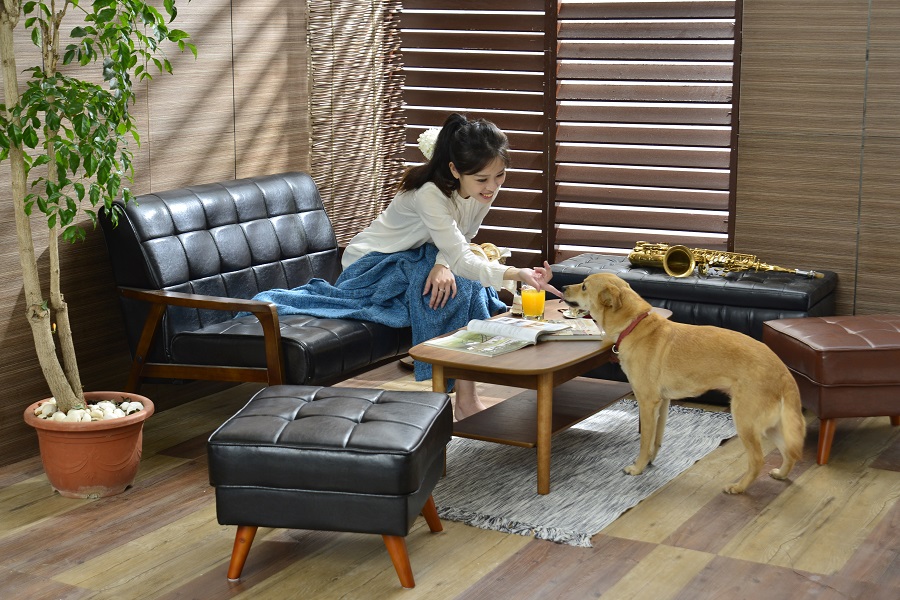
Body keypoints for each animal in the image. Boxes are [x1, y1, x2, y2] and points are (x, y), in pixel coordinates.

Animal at [563, 273, 806, 494]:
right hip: (771, 425)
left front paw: (638, 468)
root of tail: (782, 370)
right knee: (790, 452)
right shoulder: (663, 403)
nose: (563, 287)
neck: (634, 325)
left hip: (745, 421)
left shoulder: (647, 403)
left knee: (758, 460)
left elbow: (644, 442)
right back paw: (781, 474)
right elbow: (657, 439)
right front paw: (650, 461)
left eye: (584, 286)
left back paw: (738, 487)